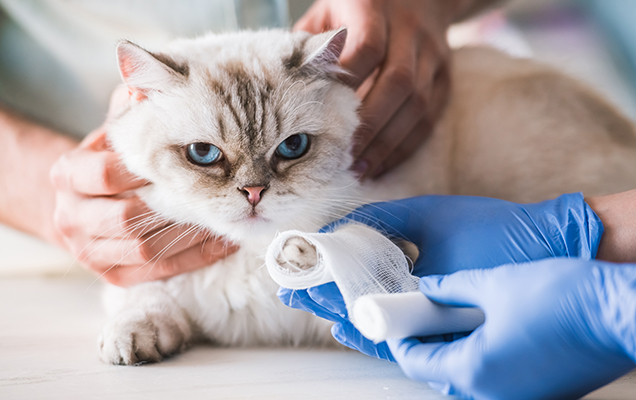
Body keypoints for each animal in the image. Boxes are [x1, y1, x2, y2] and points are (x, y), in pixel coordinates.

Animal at [100, 27, 636, 365]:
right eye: (203, 154)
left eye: (292, 147)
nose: (253, 193)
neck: (252, 256)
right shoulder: (161, 279)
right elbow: (141, 303)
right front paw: (130, 342)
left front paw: (308, 254)